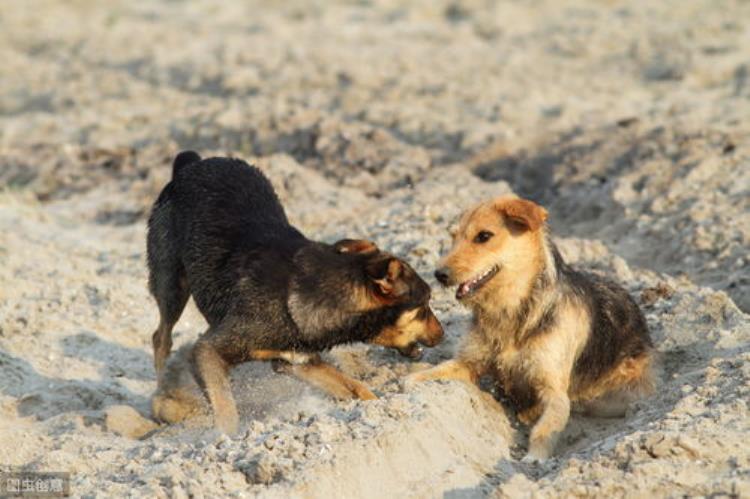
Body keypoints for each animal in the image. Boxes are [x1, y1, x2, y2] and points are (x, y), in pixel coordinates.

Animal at [147, 152, 444, 434]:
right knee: (161, 337)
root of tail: (192, 164)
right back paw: (160, 397)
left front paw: (380, 411)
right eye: (424, 305)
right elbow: (225, 407)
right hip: (171, 282)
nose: (443, 334)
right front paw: (226, 440)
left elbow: (355, 387)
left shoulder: (299, 361)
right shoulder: (207, 352)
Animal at [408, 197, 656, 462]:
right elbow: (433, 372)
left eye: (484, 236)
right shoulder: (468, 362)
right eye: (453, 237)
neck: (512, 310)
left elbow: (545, 428)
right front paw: (408, 386)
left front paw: (535, 457)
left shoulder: (554, 390)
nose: (439, 274)